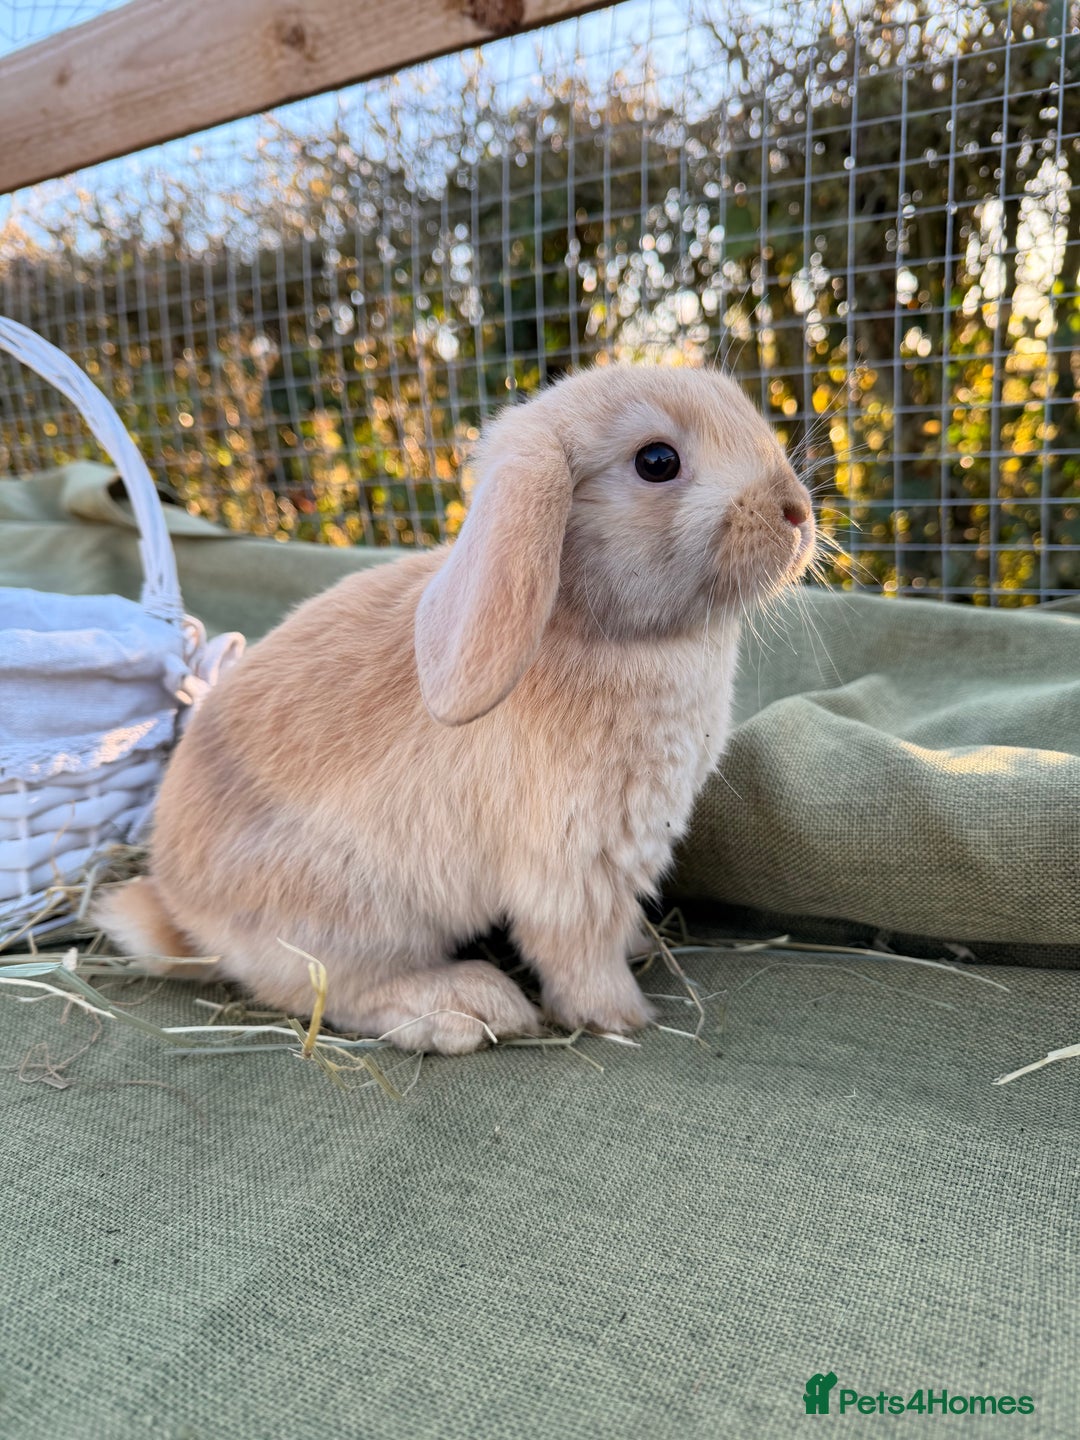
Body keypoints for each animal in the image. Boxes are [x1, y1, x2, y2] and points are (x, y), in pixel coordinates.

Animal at [95, 364, 815, 1054]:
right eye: (657, 461)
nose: (797, 511)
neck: (594, 624)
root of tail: (181, 912)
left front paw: (641, 945)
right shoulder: (576, 863)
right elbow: (577, 949)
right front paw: (621, 1016)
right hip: (354, 917)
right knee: (337, 993)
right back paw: (469, 1008)